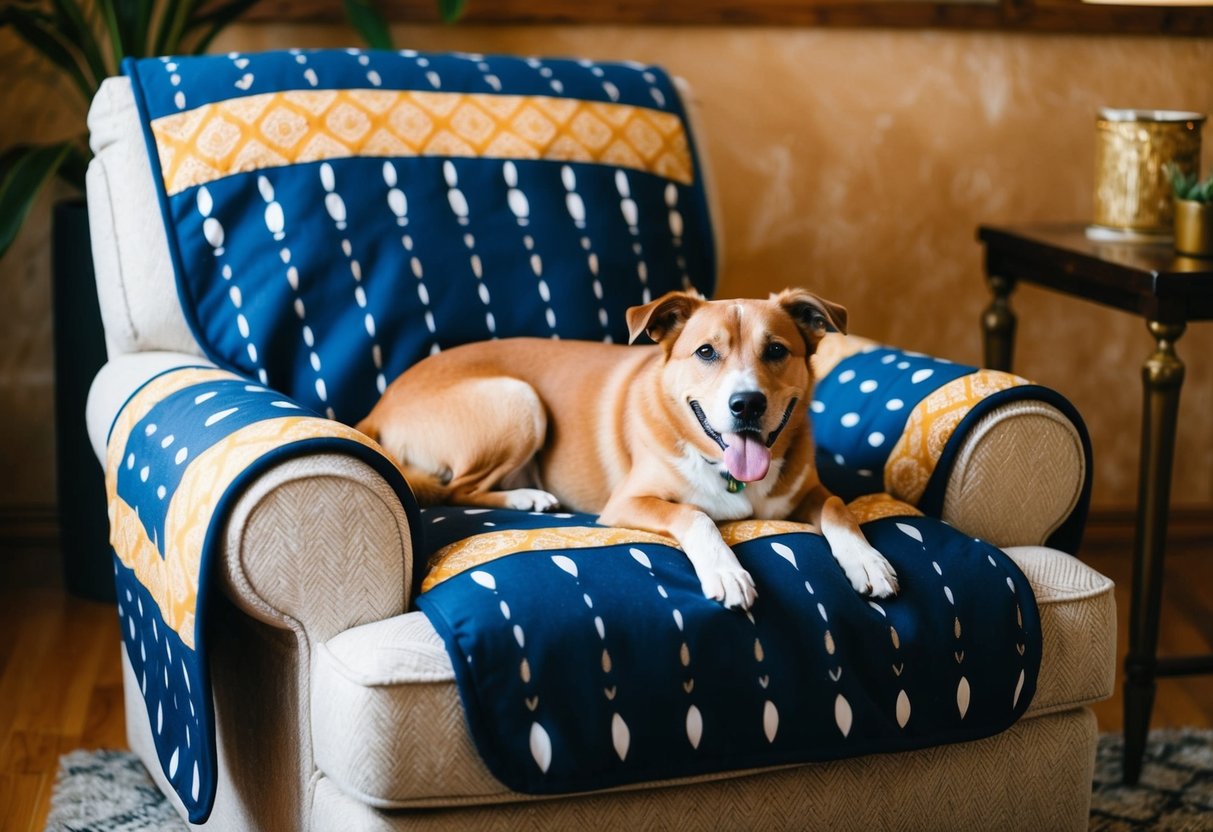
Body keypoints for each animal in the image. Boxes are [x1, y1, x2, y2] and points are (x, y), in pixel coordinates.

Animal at [354, 288, 897, 613]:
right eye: (706, 352)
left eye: (777, 350)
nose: (747, 404)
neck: (730, 473)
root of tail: (378, 404)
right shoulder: (628, 503)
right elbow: (696, 516)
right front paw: (726, 570)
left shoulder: (807, 491)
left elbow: (838, 506)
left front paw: (867, 560)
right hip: (519, 400)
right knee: (455, 490)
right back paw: (526, 498)